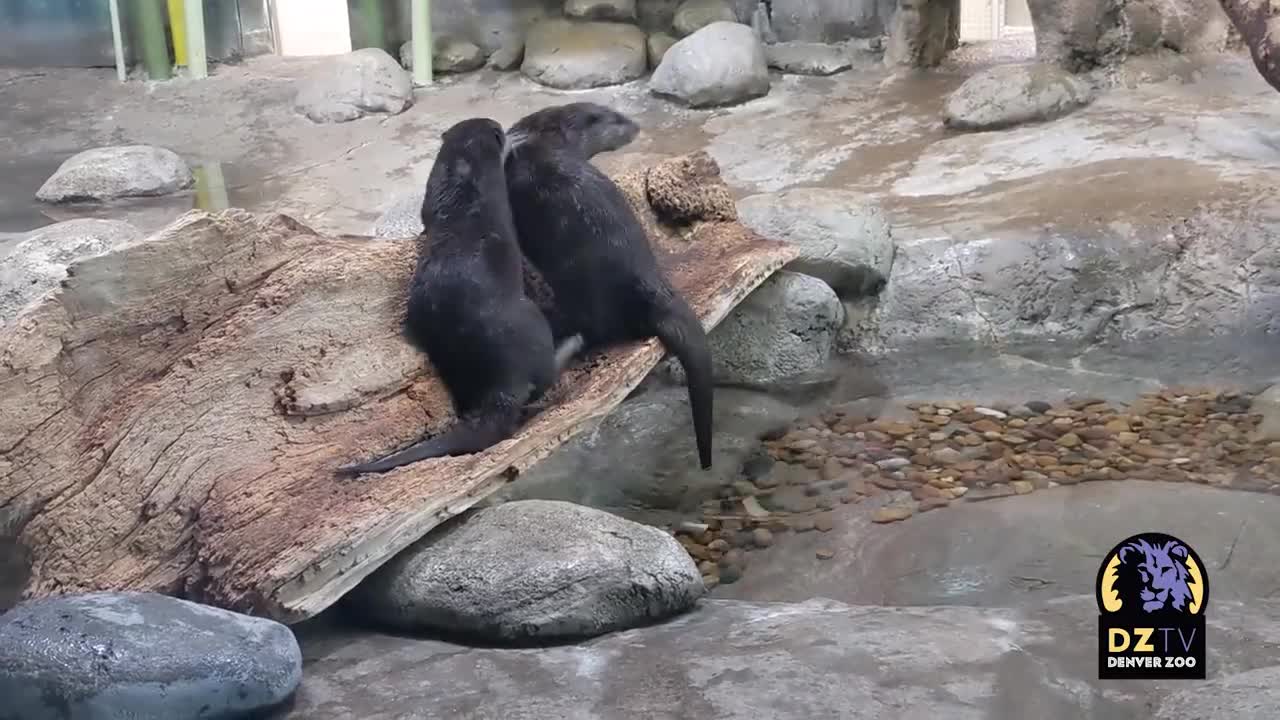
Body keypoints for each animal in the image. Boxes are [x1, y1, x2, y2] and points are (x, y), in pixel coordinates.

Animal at [337, 117, 583, 476]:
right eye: (501, 133)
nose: (508, 134)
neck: (463, 174)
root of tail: (504, 381)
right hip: (534, 324)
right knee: (543, 380)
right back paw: (571, 344)